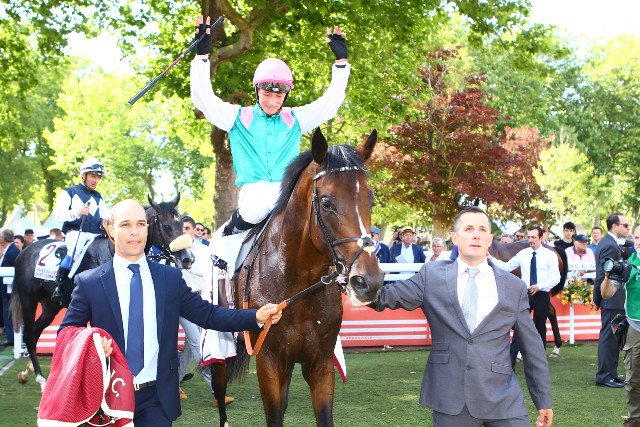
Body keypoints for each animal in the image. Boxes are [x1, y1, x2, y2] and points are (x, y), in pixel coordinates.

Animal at [9, 194, 193, 390]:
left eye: (182, 225)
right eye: (166, 226)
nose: (188, 259)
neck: (113, 253)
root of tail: (24, 252)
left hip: (50, 306)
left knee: (36, 332)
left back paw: (32, 373)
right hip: (28, 300)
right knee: (29, 334)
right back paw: (40, 379)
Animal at [207, 129, 384, 427]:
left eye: (370, 199)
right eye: (326, 202)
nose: (368, 281)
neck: (296, 285)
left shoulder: (320, 364)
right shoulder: (268, 361)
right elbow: (274, 416)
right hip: (218, 345)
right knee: (219, 391)